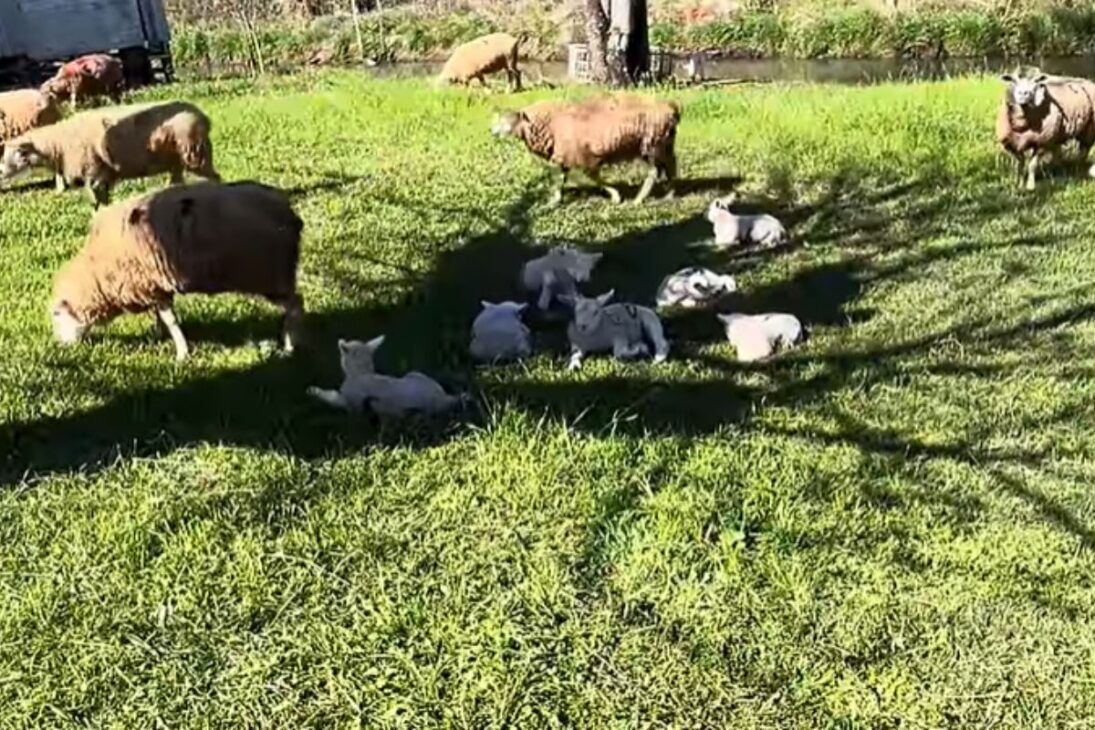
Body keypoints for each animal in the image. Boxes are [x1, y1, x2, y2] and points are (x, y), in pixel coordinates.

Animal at [0, 100, 219, 208]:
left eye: (16, 154)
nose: (1, 171)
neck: (57, 144)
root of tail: (202, 115)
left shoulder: (95, 173)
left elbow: (98, 202)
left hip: (195, 154)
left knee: (214, 178)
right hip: (176, 160)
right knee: (177, 183)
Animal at [49, 181, 304, 362]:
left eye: (57, 316)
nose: (60, 347)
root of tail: (289, 213)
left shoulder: (151, 286)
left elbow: (170, 320)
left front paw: (182, 354)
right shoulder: (156, 286)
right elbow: (162, 317)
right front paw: (159, 335)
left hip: (270, 273)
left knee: (295, 305)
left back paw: (290, 347)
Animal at [308, 336, 467, 418]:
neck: (363, 373)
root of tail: (444, 398)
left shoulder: (351, 405)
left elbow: (332, 397)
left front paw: (314, 391)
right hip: (414, 373)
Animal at [491, 95, 681, 205]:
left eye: (508, 120)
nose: (492, 131)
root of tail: (671, 108)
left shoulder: (584, 157)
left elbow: (593, 177)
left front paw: (615, 196)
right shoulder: (563, 157)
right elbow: (560, 180)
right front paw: (555, 201)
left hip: (652, 145)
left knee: (655, 171)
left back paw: (640, 199)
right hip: (662, 145)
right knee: (669, 165)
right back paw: (669, 193)